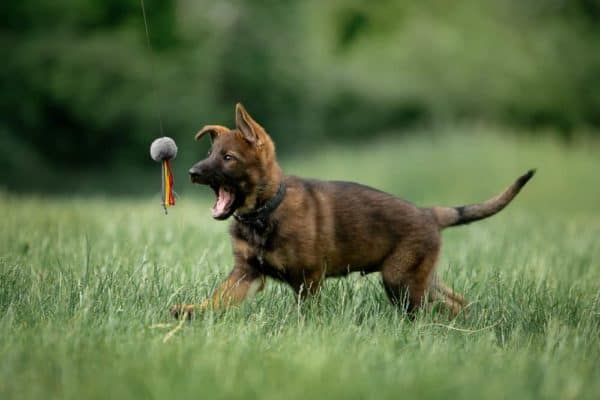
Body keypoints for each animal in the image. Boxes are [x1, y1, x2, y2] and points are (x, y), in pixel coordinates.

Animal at [171, 103, 536, 318]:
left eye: (228, 158)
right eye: (209, 153)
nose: (191, 172)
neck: (263, 212)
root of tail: (429, 213)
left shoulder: (308, 278)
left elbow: (306, 313)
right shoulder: (245, 273)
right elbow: (218, 298)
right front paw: (190, 311)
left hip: (401, 279)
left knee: (427, 310)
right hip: (420, 277)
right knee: (455, 302)